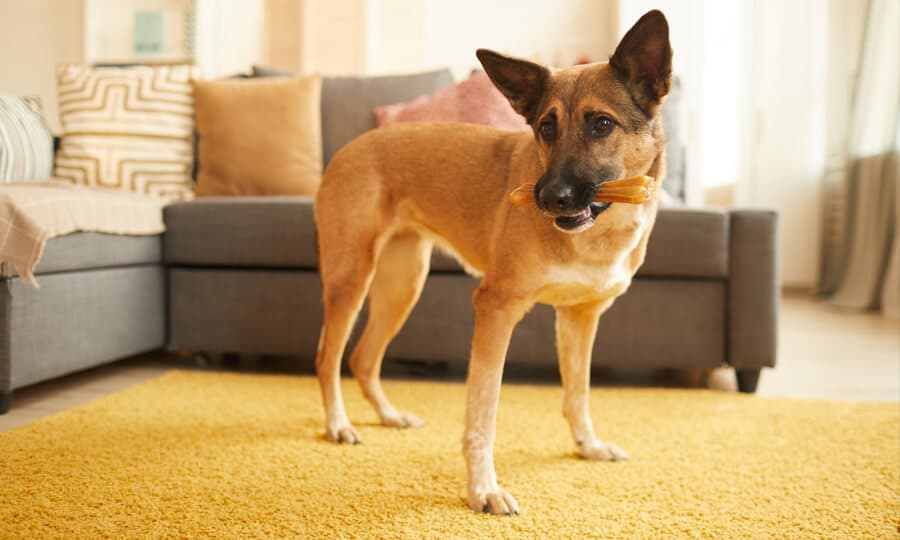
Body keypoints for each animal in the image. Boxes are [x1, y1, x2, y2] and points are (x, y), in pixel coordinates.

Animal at [312, 8, 672, 516]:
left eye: (602, 124)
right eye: (545, 127)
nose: (548, 198)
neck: (599, 230)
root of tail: (350, 146)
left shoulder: (580, 317)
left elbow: (577, 392)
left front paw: (587, 445)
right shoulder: (496, 310)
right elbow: (484, 411)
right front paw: (482, 489)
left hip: (403, 284)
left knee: (363, 358)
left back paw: (388, 415)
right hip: (352, 278)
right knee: (328, 356)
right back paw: (338, 425)